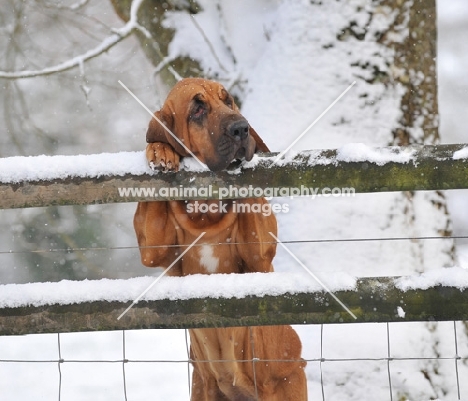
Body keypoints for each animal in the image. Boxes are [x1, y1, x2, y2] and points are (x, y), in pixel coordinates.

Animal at [133, 79, 308, 400]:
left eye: (228, 101)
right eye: (197, 109)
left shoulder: (258, 256)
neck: (206, 212)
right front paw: (160, 150)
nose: (242, 129)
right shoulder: (154, 249)